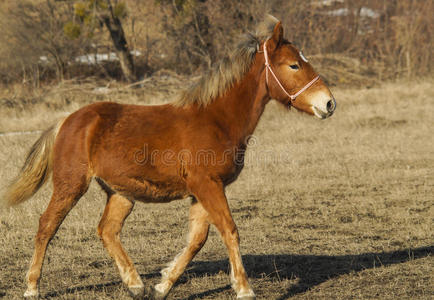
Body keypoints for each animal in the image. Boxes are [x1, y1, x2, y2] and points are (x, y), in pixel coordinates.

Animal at [2, 15, 336, 298]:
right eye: (293, 65)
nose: (329, 103)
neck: (216, 119)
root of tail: (68, 120)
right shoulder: (207, 185)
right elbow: (229, 230)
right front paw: (244, 289)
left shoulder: (203, 190)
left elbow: (197, 239)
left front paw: (162, 286)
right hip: (71, 185)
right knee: (47, 225)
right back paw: (31, 288)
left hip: (121, 193)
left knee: (107, 230)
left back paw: (136, 286)